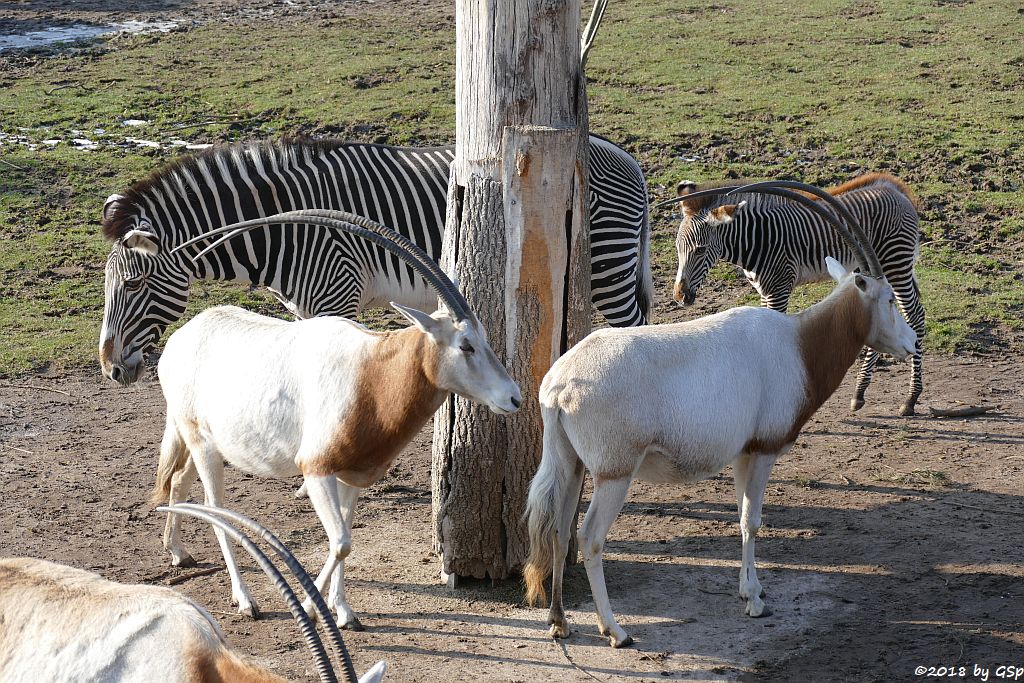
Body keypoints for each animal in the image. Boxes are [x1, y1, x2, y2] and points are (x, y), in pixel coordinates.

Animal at [99, 135, 651, 385]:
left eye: (133, 286)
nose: (109, 368)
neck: (283, 228)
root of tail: (623, 155)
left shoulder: (336, 295)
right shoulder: (306, 309)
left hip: (606, 263)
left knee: (636, 329)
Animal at [675, 172, 925, 417]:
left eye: (701, 249)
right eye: (678, 246)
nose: (680, 295)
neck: (757, 238)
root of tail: (894, 189)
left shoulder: (778, 290)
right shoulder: (765, 292)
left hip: (896, 263)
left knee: (916, 316)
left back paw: (911, 399)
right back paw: (859, 393)